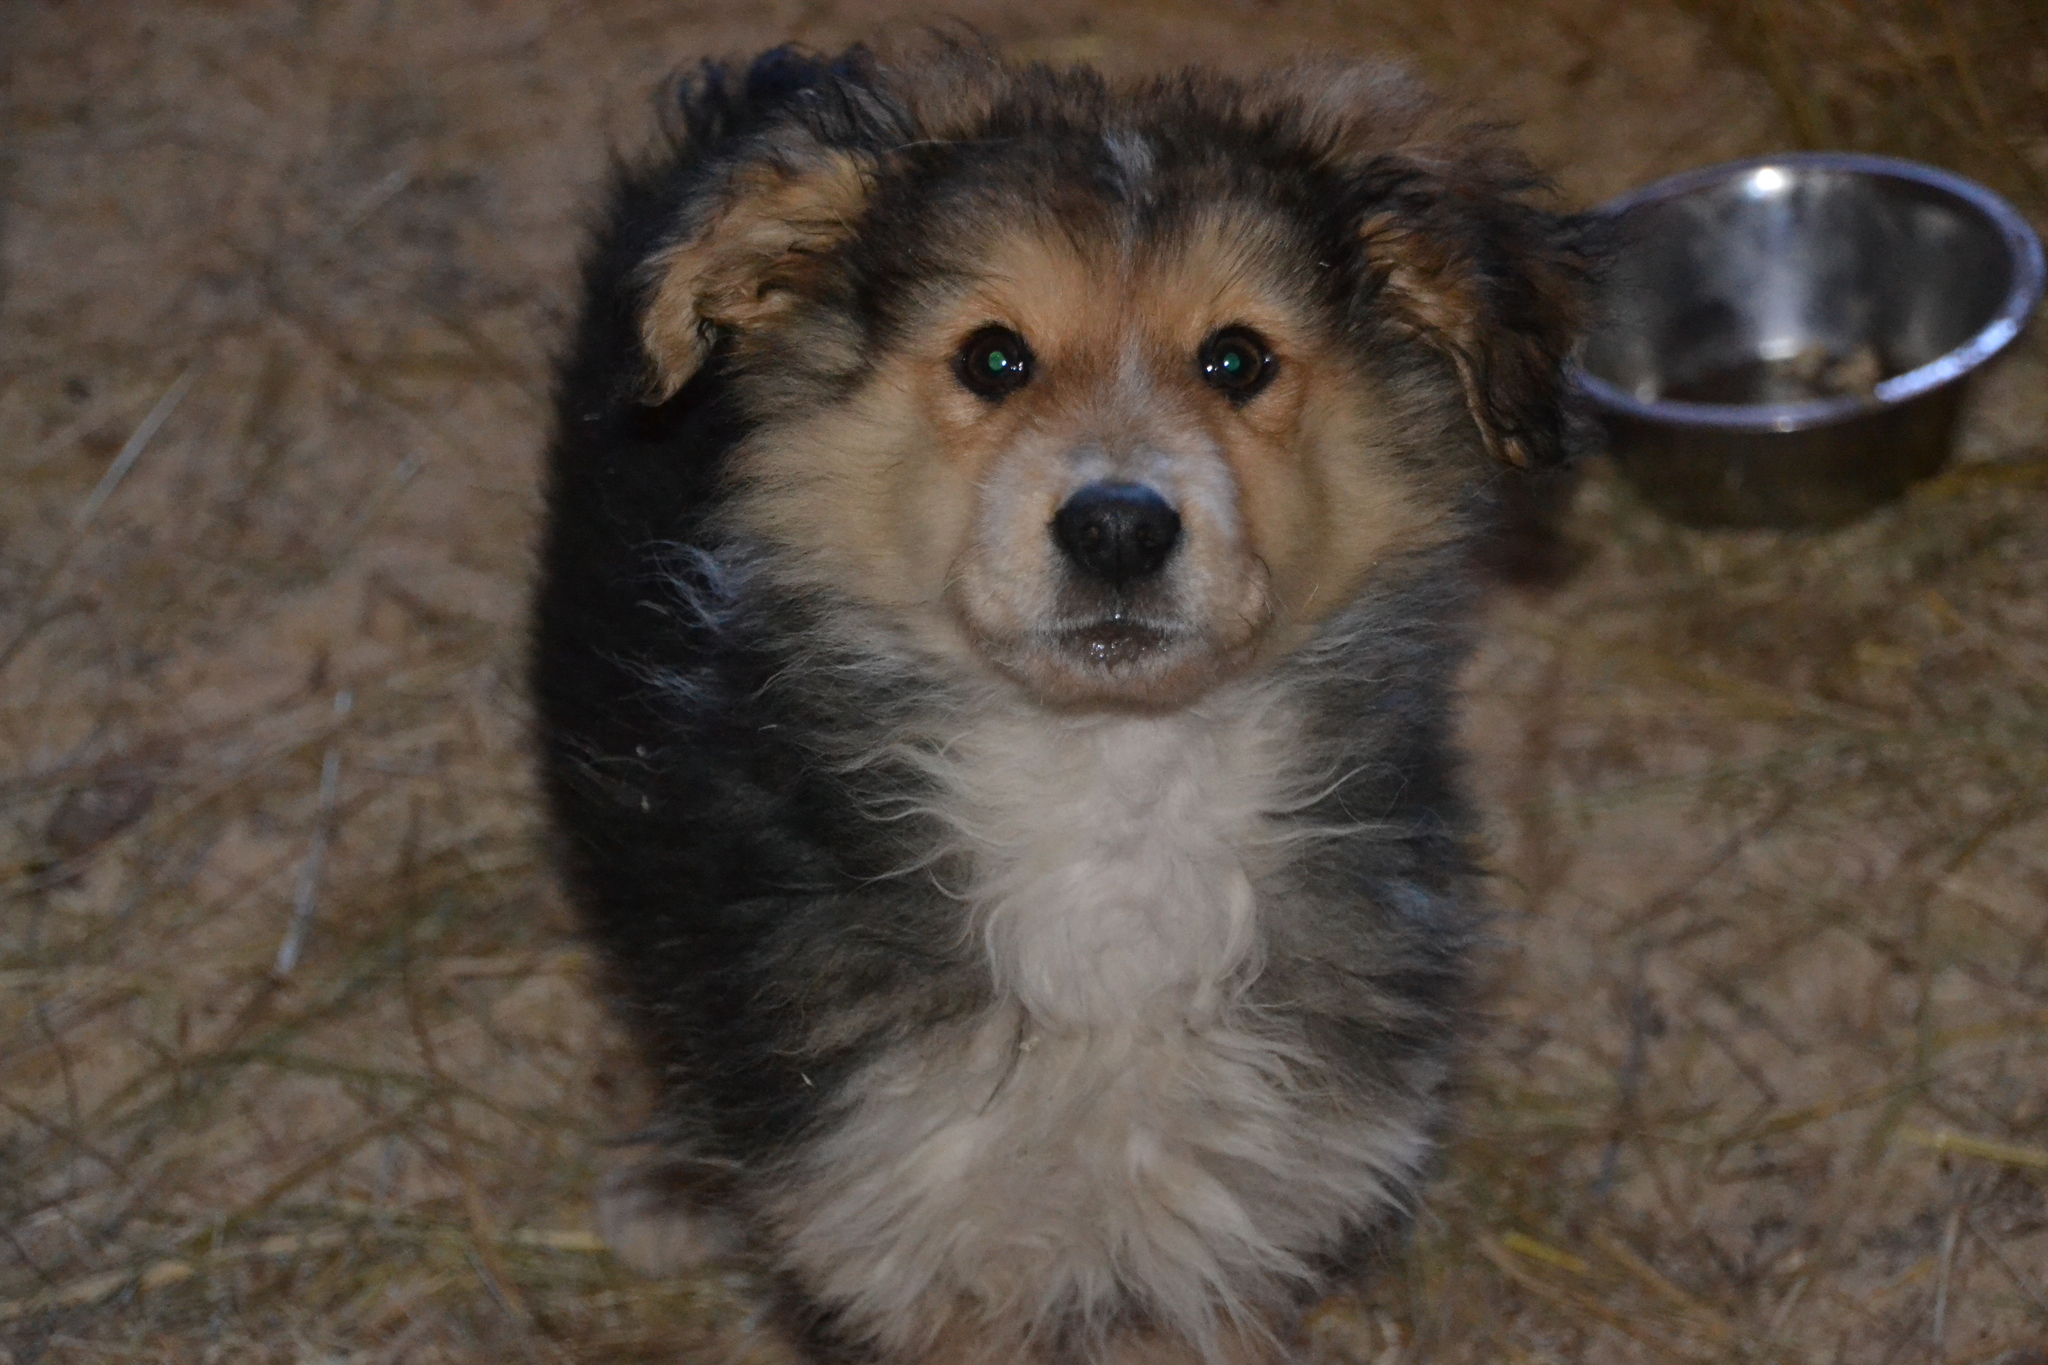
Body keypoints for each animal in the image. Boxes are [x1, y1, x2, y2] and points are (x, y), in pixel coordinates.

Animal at [528, 42, 1581, 1365]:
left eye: (1235, 359)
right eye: (994, 358)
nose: (1118, 526)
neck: (1110, 795)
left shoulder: (1227, 1219)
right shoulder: (902, 1213)